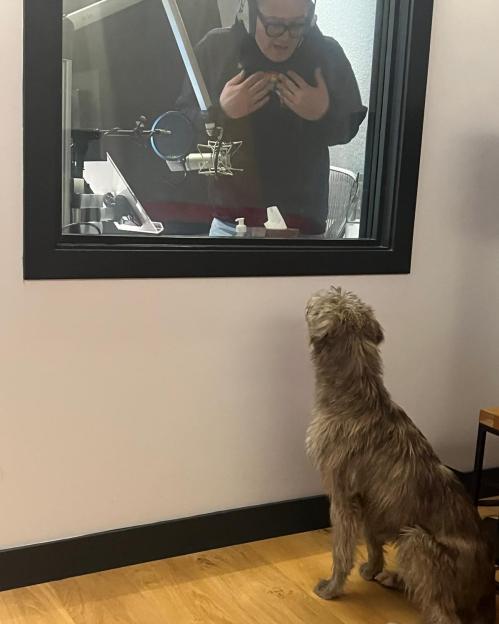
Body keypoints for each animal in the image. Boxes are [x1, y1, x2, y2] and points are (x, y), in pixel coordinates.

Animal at [304, 286, 496, 624]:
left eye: (325, 297)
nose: (311, 295)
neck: (355, 395)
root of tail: (487, 591)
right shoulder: (369, 499)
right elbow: (372, 539)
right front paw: (372, 569)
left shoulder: (342, 497)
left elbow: (342, 548)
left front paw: (331, 588)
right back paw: (393, 577)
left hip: (417, 542)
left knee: (443, 612)